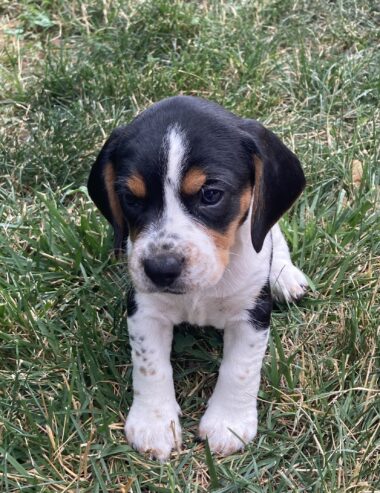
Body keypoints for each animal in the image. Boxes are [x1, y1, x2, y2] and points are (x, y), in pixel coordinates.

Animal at [87, 95, 308, 458]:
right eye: (130, 198)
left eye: (210, 194)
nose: (161, 269)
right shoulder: (144, 309)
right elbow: (150, 366)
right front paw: (153, 423)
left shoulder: (252, 313)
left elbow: (240, 368)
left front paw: (228, 423)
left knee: (272, 232)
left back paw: (285, 275)